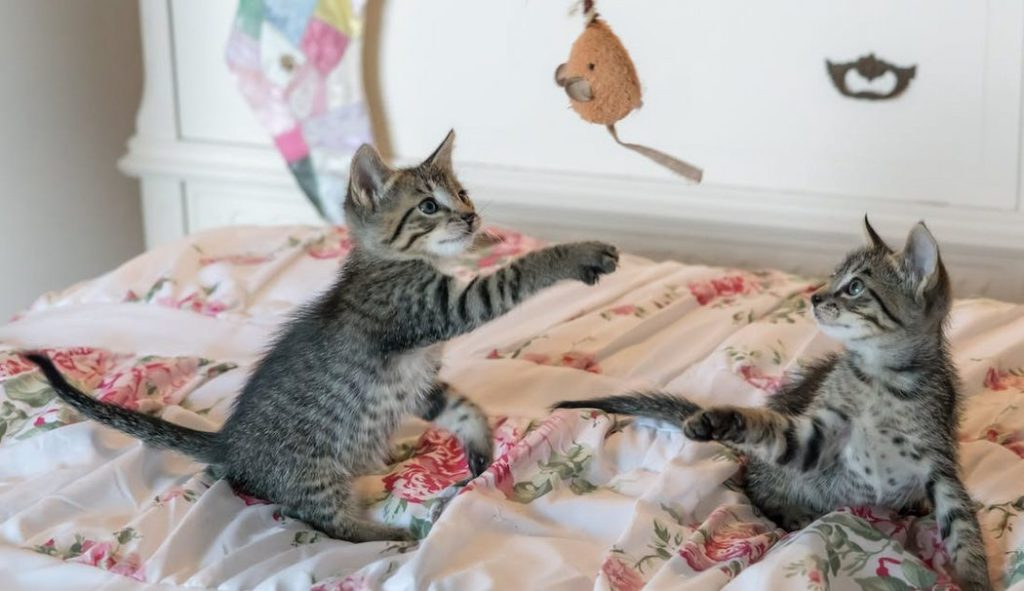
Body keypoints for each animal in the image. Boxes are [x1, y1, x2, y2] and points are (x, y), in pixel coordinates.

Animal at [32, 131, 618, 540]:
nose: (472, 217)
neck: (394, 262)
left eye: (462, 192)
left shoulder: (418, 380)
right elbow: (517, 274)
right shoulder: (436, 310)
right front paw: (579, 252)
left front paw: (480, 445)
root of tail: (229, 442)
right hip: (313, 473)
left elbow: (463, 407)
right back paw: (392, 535)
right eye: (429, 206)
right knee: (322, 522)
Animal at [561, 219, 991, 585]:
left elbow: (963, 527)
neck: (881, 380)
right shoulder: (815, 439)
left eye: (854, 287)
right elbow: (765, 428)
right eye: (833, 276)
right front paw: (715, 419)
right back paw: (794, 512)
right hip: (782, 476)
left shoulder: (940, 464)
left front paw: (972, 579)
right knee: (756, 483)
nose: (814, 297)